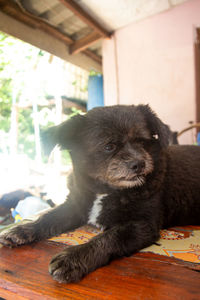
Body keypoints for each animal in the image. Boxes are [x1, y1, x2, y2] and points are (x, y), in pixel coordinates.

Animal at [0, 104, 200, 282]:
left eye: (143, 142)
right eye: (109, 146)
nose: (139, 164)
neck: (104, 190)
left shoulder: (142, 226)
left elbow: (108, 237)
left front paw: (72, 258)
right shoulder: (75, 206)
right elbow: (49, 217)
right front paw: (23, 229)